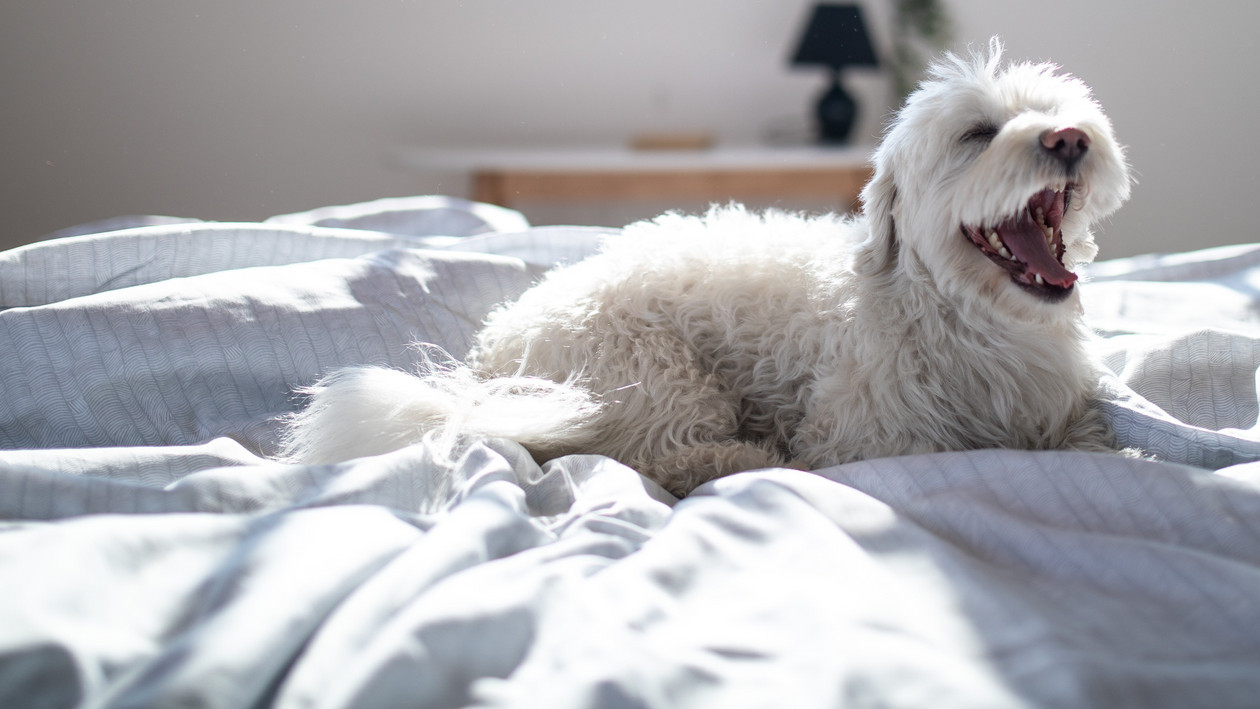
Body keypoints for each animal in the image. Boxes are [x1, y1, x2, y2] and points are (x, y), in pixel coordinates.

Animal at [283, 41, 1134, 496]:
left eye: (1059, 111)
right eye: (977, 134)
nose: (1068, 138)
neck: (970, 319)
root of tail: (488, 359)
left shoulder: (1066, 416)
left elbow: (1094, 445)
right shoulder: (866, 439)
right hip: (655, 375)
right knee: (645, 455)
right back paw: (740, 459)